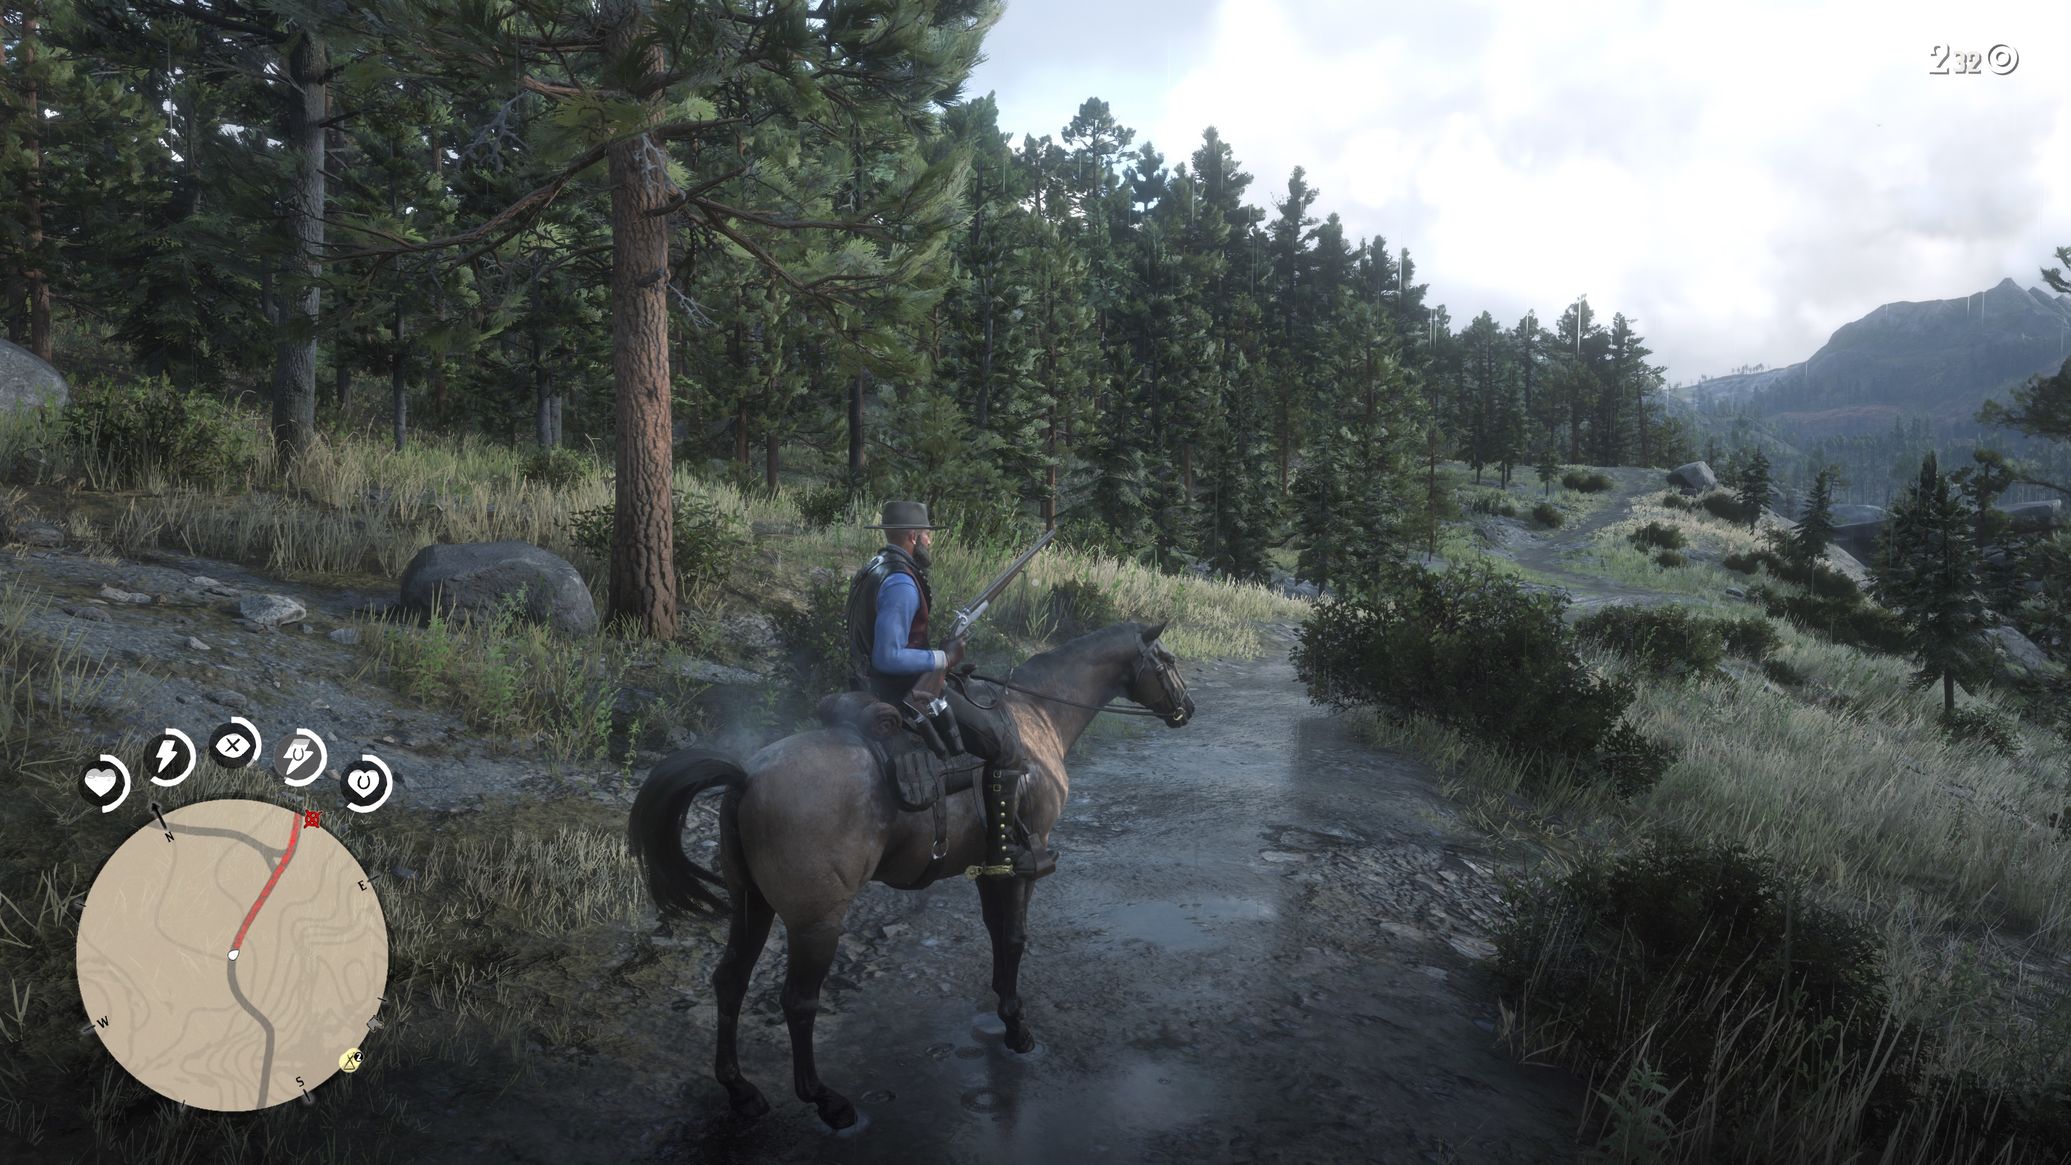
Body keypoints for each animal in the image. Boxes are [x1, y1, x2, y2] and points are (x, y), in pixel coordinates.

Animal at [626, 619, 1196, 1130]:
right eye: (1166, 660)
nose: (1186, 709)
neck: (1038, 714)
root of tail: (747, 776)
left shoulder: (990, 870)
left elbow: (996, 936)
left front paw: (1000, 1006)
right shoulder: (1024, 866)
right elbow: (1014, 938)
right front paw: (1017, 1027)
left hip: (751, 905)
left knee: (730, 981)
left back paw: (740, 1090)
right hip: (815, 923)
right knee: (798, 1002)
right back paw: (825, 1100)